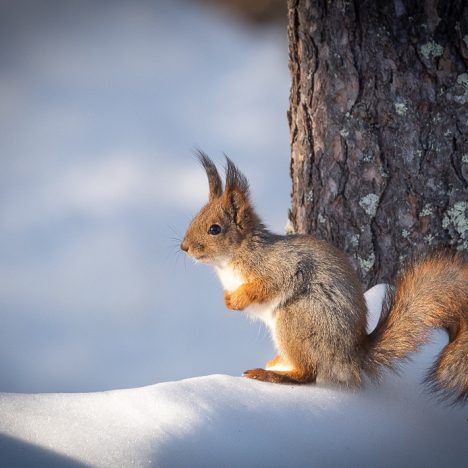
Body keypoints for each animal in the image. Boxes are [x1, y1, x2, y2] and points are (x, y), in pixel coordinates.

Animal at [181, 152, 468, 404]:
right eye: (195, 217)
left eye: (215, 229)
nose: (184, 247)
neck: (230, 261)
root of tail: (351, 356)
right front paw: (228, 301)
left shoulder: (281, 267)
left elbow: (268, 286)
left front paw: (240, 299)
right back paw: (278, 362)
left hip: (297, 318)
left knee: (308, 373)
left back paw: (273, 374)